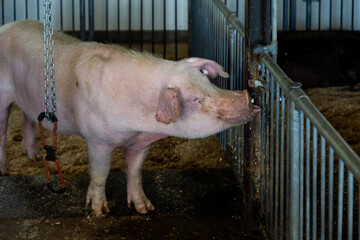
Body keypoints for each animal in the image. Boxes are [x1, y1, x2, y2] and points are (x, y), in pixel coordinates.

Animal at [0, 20, 260, 216]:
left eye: (208, 81)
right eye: (195, 99)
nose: (248, 96)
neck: (138, 122)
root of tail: (6, 26)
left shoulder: (140, 142)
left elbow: (135, 172)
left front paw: (145, 209)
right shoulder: (97, 140)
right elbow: (100, 173)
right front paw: (99, 211)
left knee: (27, 117)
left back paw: (33, 157)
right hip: (3, 96)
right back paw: (3, 172)